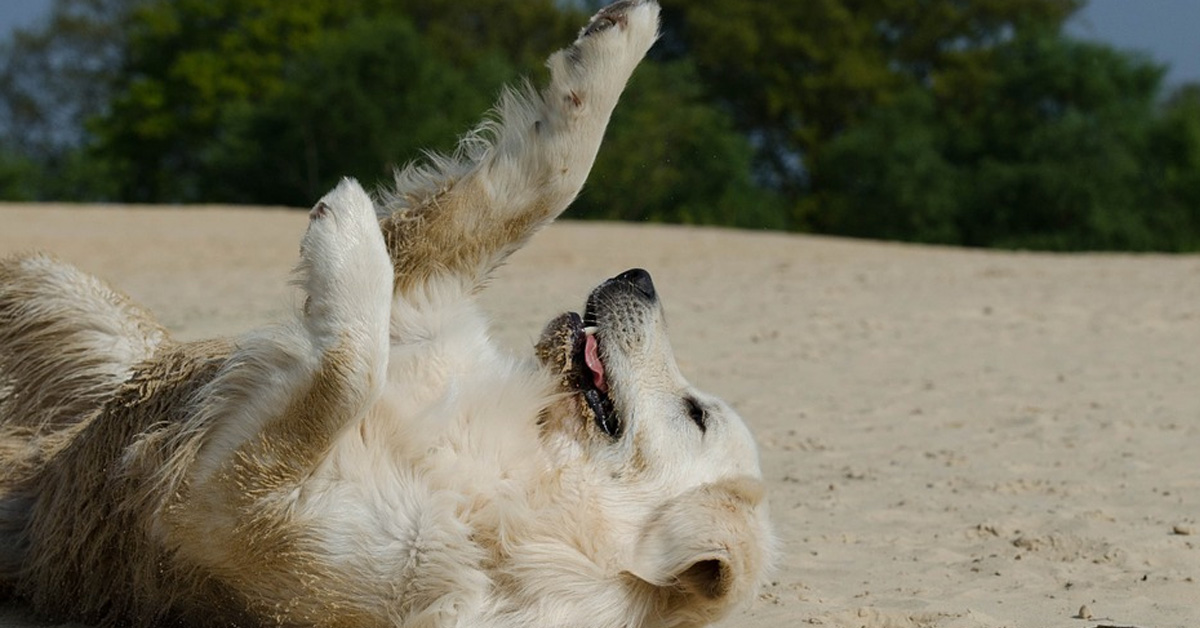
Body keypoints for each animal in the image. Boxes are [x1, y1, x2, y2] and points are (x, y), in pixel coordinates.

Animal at [0, 2, 772, 624]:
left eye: (696, 414)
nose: (641, 276)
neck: (525, 476)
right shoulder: (427, 304)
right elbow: (545, 178)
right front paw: (619, 38)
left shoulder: (228, 514)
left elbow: (347, 372)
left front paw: (343, 227)